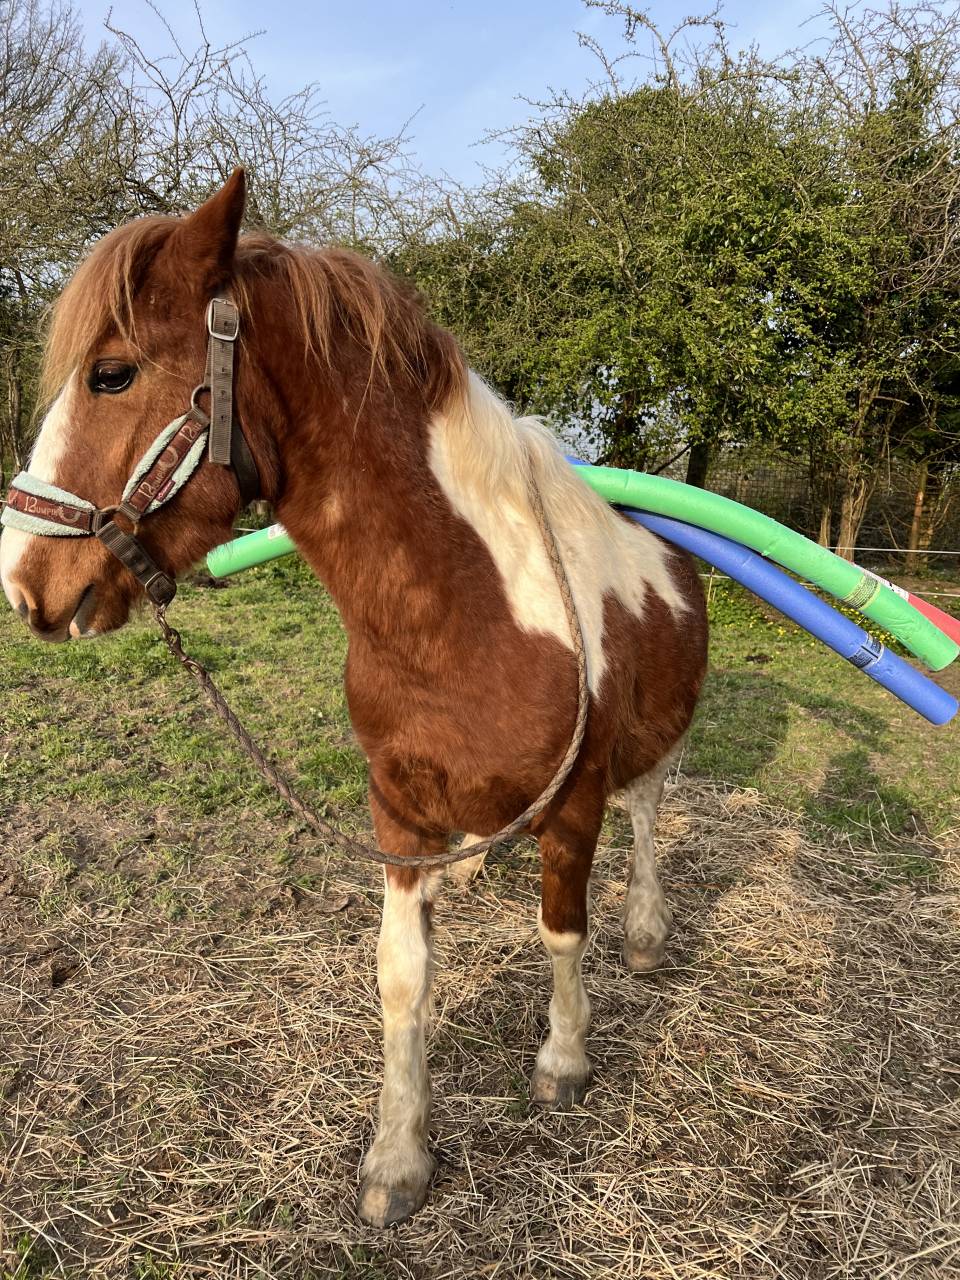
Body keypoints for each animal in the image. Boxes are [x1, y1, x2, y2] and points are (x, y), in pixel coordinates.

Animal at [0, 170, 708, 1227]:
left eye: (112, 375)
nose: (22, 581)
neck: (467, 614)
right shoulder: (398, 813)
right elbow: (402, 979)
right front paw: (397, 1159)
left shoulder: (575, 806)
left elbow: (562, 932)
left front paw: (563, 1059)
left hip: (657, 748)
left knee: (652, 814)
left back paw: (649, 931)